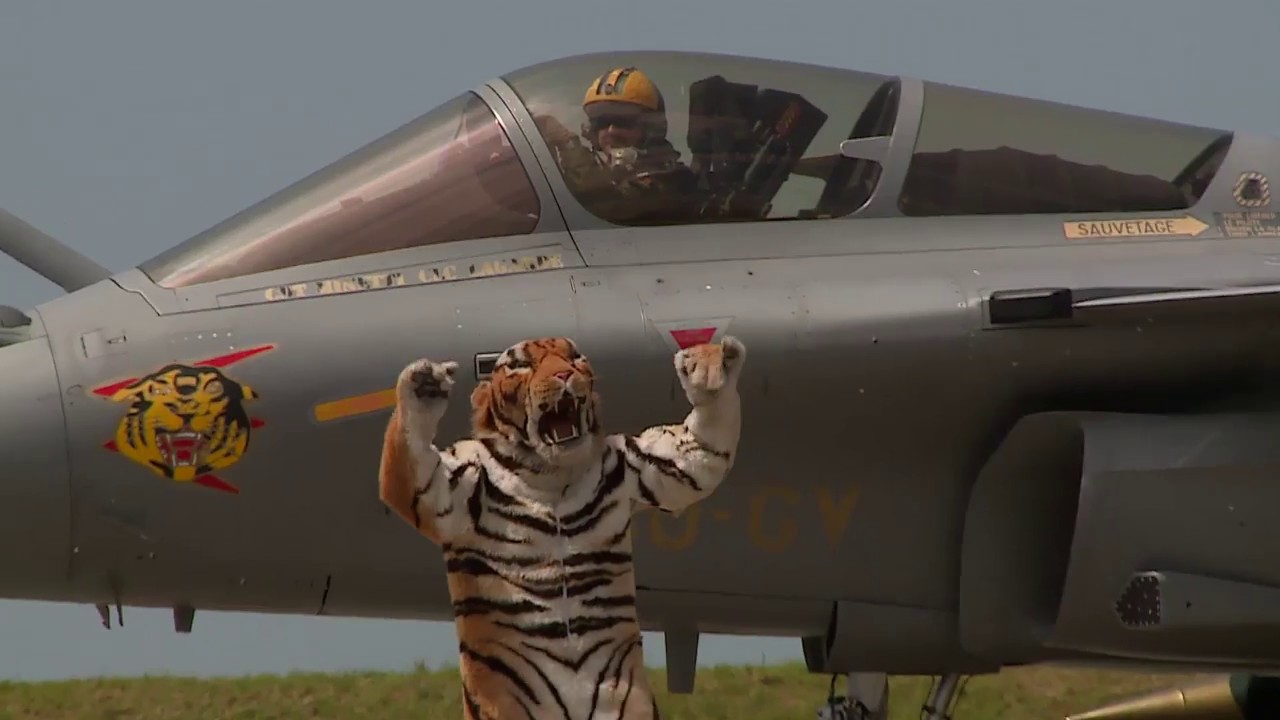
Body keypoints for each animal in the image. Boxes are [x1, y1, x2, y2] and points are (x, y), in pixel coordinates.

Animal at [378, 334, 746, 719]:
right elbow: (418, 474)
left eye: (574, 357)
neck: (551, 473)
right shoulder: (446, 490)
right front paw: (423, 385)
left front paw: (708, 372)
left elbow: (701, 448)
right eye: (521, 365)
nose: (566, 375)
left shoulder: (650, 465)